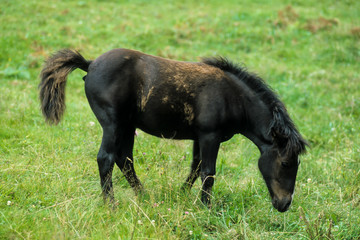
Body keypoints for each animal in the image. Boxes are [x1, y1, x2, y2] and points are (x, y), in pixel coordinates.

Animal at [38, 48, 306, 212]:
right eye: (285, 163)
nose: (284, 204)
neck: (232, 97)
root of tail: (90, 64)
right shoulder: (210, 136)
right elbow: (208, 172)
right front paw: (206, 208)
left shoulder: (201, 136)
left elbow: (195, 167)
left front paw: (182, 194)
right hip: (112, 124)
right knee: (106, 158)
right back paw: (110, 204)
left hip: (127, 126)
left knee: (125, 160)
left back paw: (143, 195)